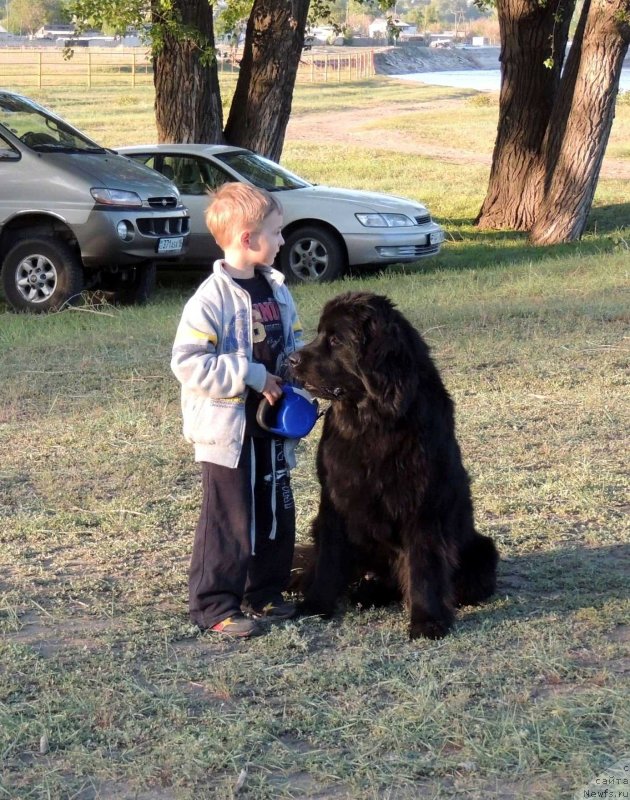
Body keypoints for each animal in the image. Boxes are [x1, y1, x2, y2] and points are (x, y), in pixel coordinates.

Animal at [288, 290, 502, 640]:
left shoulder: (422, 504)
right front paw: (316, 604)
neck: (373, 420)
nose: (291, 359)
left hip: (482, 552)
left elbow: (423, 565)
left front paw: (427, 620)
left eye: (335, 339)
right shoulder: (333, 501)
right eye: (320, 334)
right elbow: (329, 560)